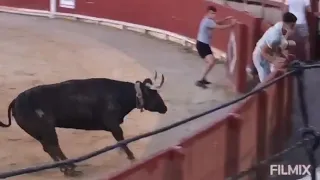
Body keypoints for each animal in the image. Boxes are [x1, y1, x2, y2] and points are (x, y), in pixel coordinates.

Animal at [0, 72, 169, 176]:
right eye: (154, 94)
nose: (165, 108)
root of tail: (15, 101)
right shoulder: (113, 124)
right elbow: (122, 140)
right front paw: (132, 157)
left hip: (41, 133)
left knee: (50, 148)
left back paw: (69, 168)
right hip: (46, 129)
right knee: (53, 147)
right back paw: (69, 170)